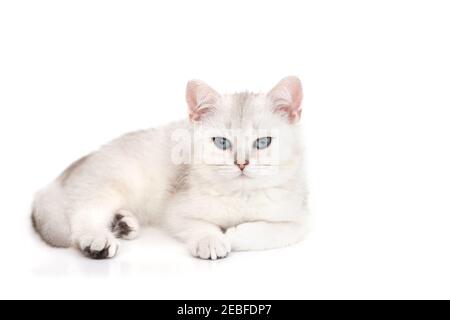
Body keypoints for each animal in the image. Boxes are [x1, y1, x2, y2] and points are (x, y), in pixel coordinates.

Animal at [30, 77, 306, 260]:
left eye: (263, 142)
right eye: (221, 142)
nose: (241, 163)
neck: (240, 196)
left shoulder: (299, 219)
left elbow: (273, 231)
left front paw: (234, 235)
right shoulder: (175, 209)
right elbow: (198, 224)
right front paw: (212, 240)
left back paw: (123, 223)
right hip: (111, 183)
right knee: (83, 216)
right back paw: (97, 240)